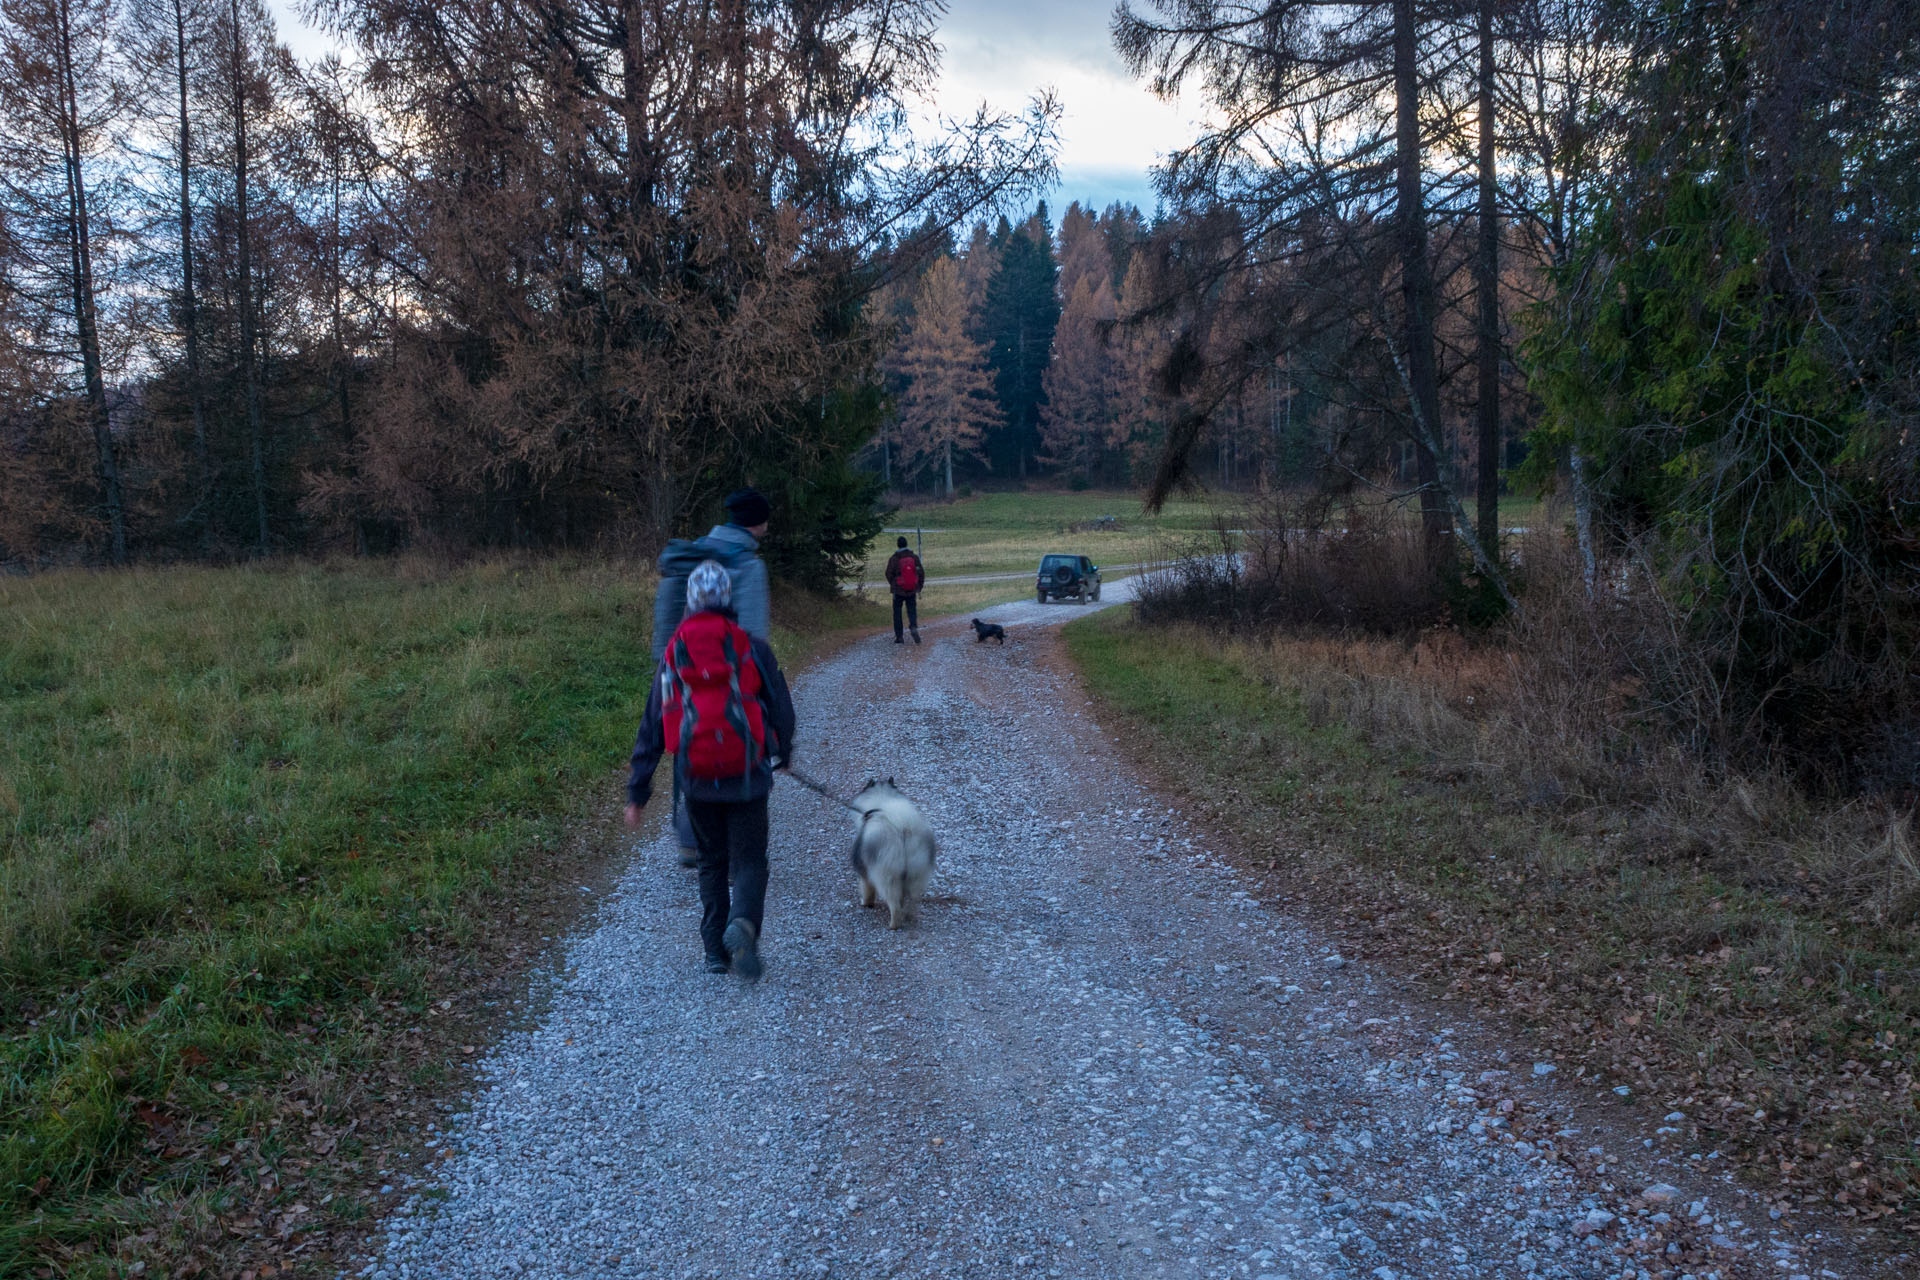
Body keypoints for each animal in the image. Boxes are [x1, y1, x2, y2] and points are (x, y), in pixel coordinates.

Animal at [852, 782, 933, 932]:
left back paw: (893, 925)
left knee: (893, 903)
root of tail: (903, 828)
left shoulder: (865, 870)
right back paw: (909, 916)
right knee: (913, 899)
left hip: (887, 875)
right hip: (916, 872)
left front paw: (866, 903)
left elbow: (867, 889)